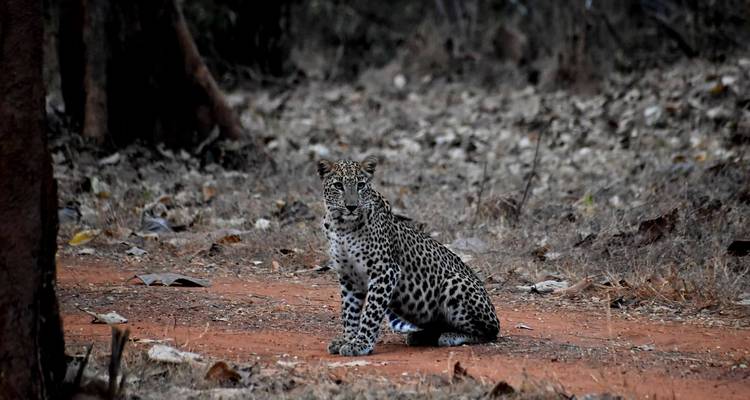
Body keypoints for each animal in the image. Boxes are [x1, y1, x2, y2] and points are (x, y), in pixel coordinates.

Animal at [318, 156, 500, 356]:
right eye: (338, 185)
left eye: (360, 185)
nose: (351, 206)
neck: (342, 226)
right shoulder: (348, 276)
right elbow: (349, 312)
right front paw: (348, 340)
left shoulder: (385, 272)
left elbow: (371, 312)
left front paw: (361, 343)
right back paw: (421, 336)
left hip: (454, 284)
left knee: (488, 332)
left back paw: (449, 335)